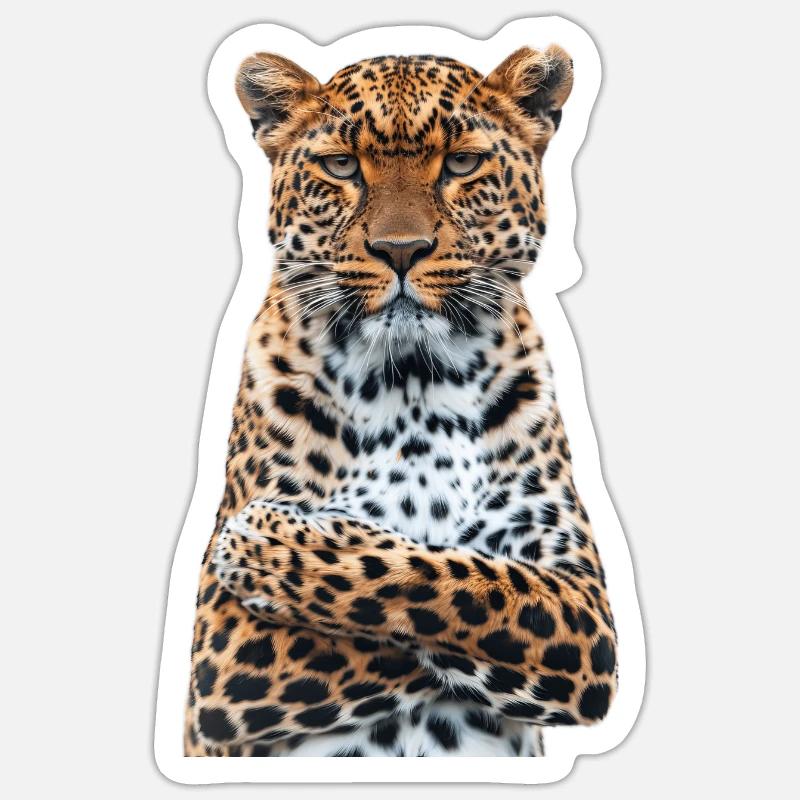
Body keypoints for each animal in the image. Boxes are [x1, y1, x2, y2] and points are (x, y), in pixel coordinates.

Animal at [184, 44, 617, 757]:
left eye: (462, 164)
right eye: (341, 166)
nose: (401, 250)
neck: (412, 382)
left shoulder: (582, 601)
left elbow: (448, 579)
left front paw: (267, 543)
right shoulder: (221, 650)